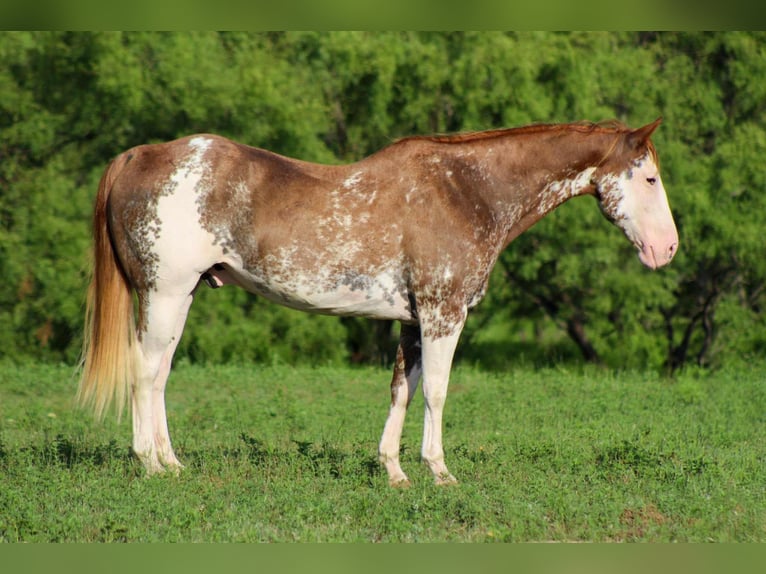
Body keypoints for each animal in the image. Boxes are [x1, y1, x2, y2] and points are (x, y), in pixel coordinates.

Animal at [78, 118, 678, 486]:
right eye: (649, 177)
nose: (667, 249)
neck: (465, 190)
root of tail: (139, 155)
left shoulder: (413, 320)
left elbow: (402, 391)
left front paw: (394, 471)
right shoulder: (443, 314)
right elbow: (436, 392)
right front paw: (439, 471)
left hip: (174, 299)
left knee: (158, 374)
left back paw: (170, 461)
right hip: (165, 295)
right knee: (146, 373)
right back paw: (152, 464)